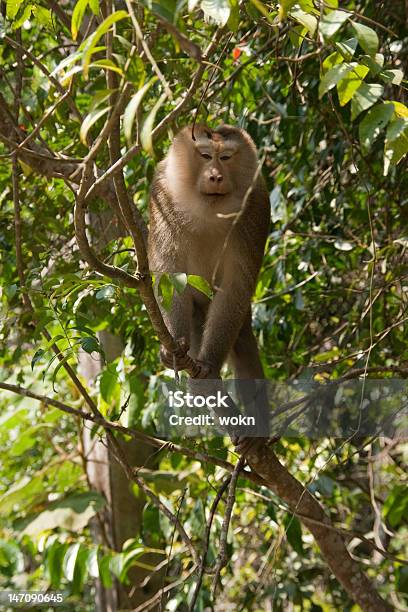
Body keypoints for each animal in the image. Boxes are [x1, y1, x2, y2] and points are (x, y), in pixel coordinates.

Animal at [148, 123, 270, 450]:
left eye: (226, 157)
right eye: (204, 155)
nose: (215, 176)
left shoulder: (255, 204)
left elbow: (236, 286)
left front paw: (210, 366)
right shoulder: (162, 197)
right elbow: (169, 276)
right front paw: (175, 348)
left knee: (242, 342)